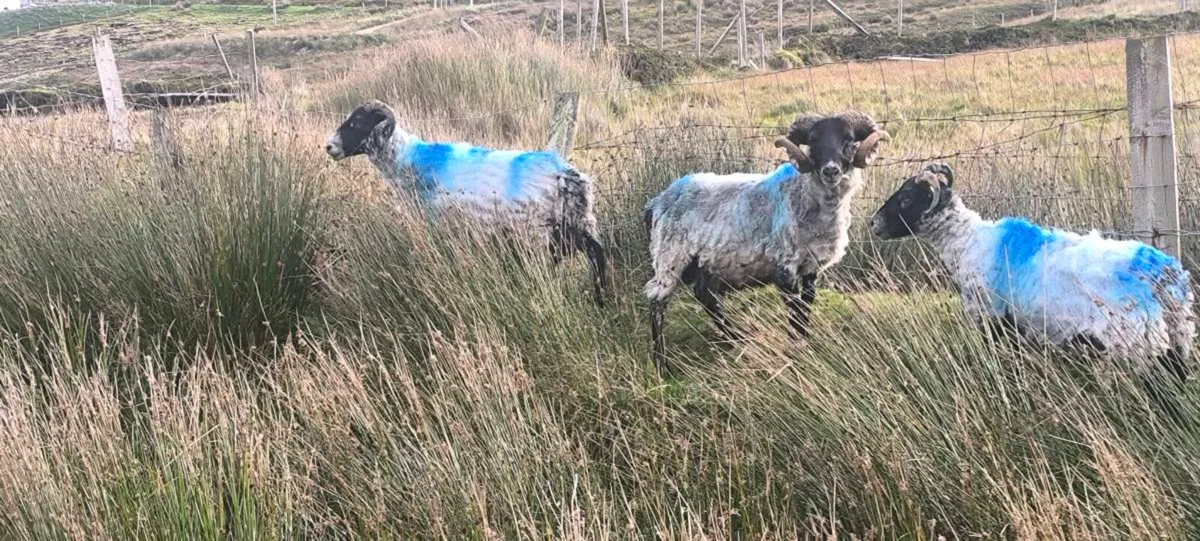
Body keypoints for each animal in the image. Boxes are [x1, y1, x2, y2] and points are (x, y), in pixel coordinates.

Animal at [324, 99, 609, 306]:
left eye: (356, 123)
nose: (329, 146)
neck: (409, 162)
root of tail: (566, 176)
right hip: (576, 224)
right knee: (597, 255)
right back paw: (601, 300)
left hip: (535, 234)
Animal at [643, 111, 891, 368]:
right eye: (813, 140)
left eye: (849, 139)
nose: (830, 171)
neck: (803, 195)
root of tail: (657, 201)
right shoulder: (785, 267)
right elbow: (794, 308)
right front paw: (796, 346)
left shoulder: (810, 267)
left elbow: (806, 304)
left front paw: (804, 341)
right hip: (669, 257)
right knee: (657, 302)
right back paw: (661, 364)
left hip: (706, 263)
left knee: (705, 297)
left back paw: (735, 339)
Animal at [869, 162, 1196, 386]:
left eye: (907, 198)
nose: (872, 223)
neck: (969, 241)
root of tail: (1162, 273)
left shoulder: (995, 322)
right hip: (1177, 341)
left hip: (1135, 346)